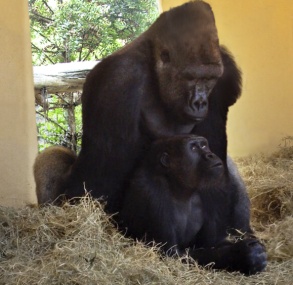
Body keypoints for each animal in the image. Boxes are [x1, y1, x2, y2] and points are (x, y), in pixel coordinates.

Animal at [60, 0, 241, 213]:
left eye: (209, 79)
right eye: (191, 78)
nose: (200, 102)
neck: (154, 63)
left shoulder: (225, 72)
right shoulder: (117, 80)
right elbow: (100, 178)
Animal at [118, 134, 266, 274]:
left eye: (204, 146)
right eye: (193, 148)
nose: (210, 155)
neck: (176, 184)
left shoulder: (210, 188)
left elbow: (213, 243)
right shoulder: (151, 192)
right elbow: (171, 254)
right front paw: (242, 255)